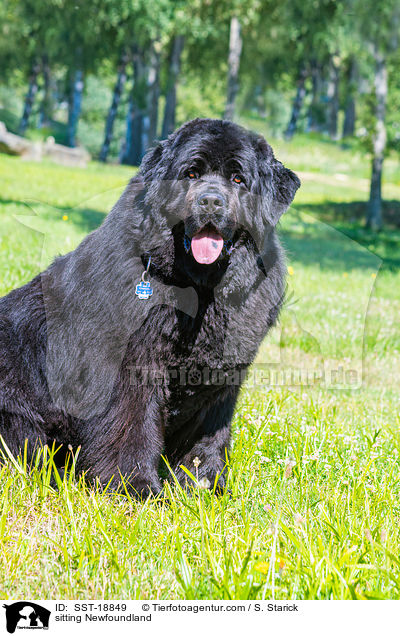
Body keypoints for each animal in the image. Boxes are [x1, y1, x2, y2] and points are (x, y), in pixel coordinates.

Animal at [0, 119, 300, 496]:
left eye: (237, 179)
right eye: (190, 173)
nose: (211, 201)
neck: (200, 292)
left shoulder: (223, 377)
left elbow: (209, 434)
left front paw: (204, 486)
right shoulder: (132, 365)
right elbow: (133, 424)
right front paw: (135, 486)